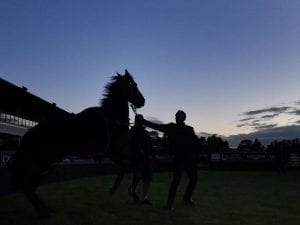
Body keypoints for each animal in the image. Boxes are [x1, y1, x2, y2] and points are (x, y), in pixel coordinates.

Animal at [7, 70, 145, 218]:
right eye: (132, 84)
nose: (142, 101)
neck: (111, 120)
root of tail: (27, 136)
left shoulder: (115, 153)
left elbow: (130, 166)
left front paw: (131, 193)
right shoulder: (113, 152)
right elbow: (130, 166)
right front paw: (121, 190)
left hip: (46, 165)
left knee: (30, 185)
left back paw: (46, 209)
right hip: (41, 162)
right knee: (26, 184)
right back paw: (43, 213)